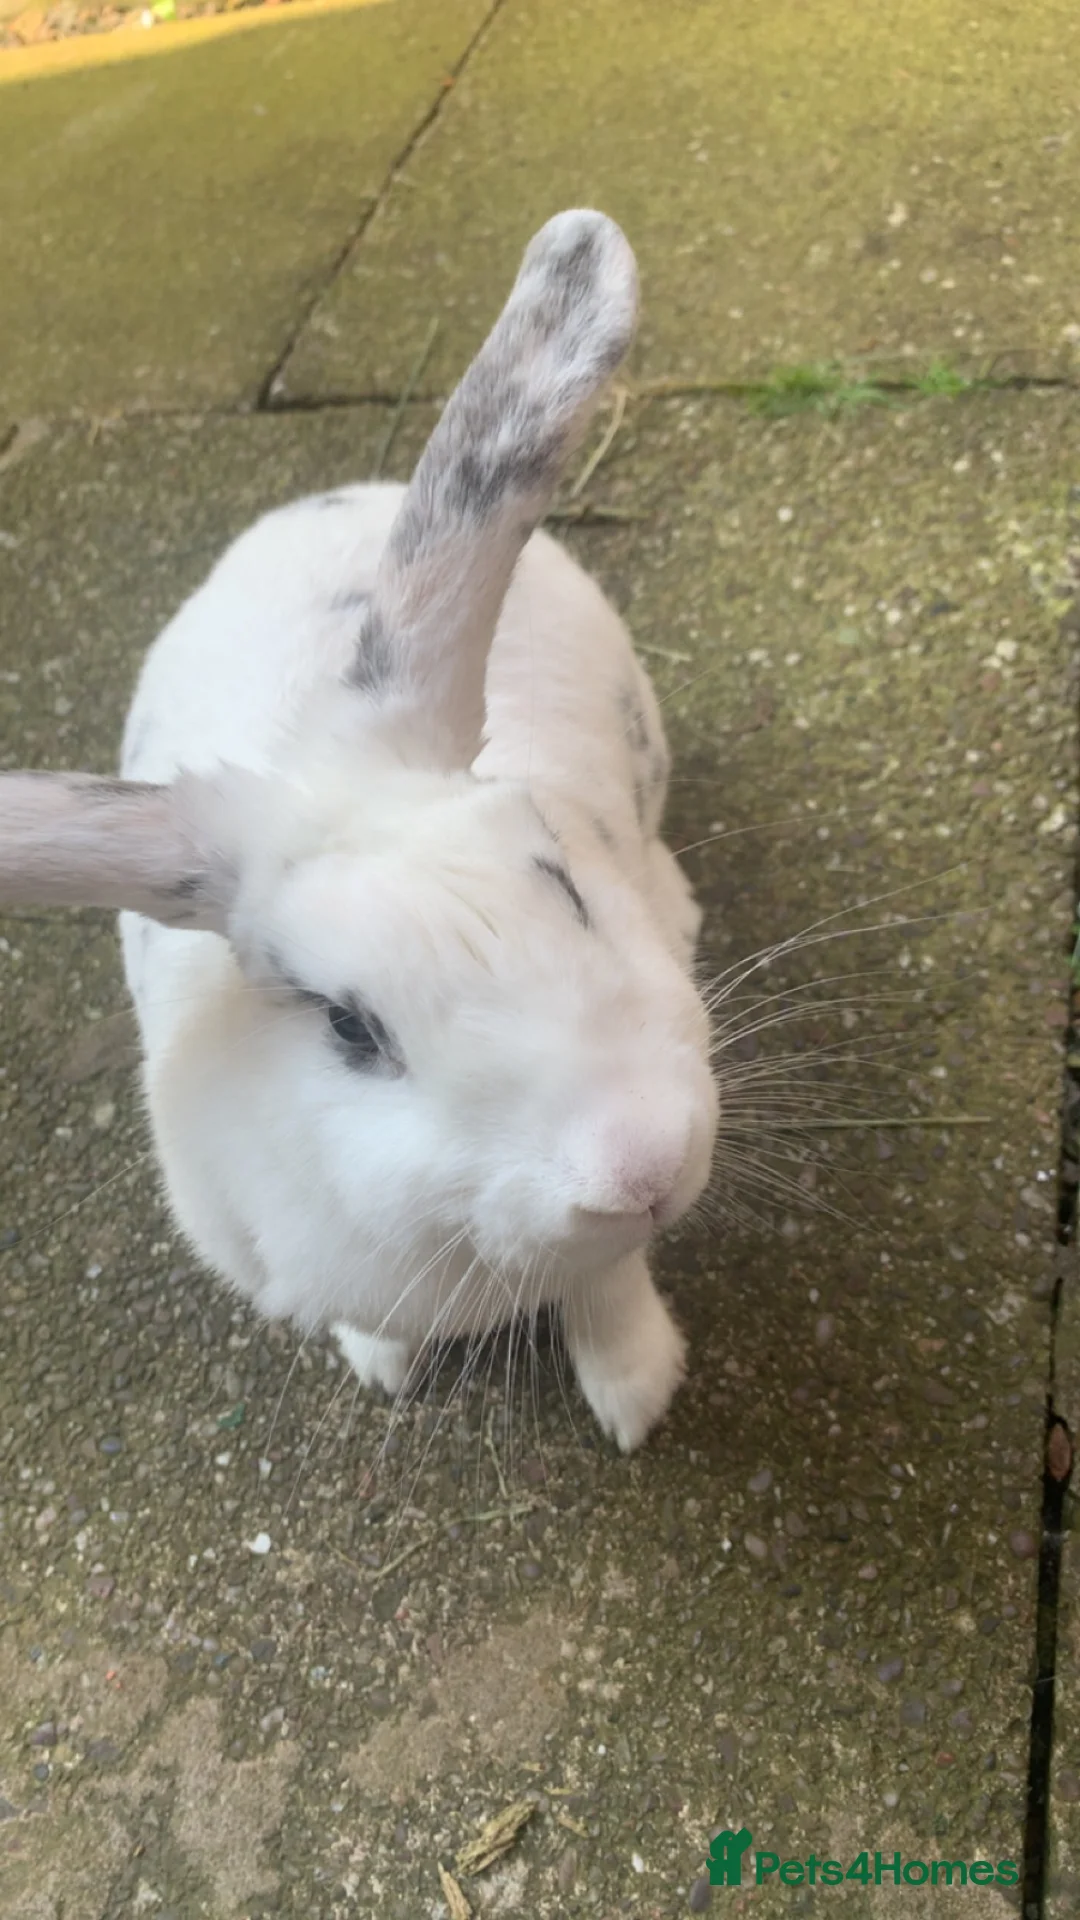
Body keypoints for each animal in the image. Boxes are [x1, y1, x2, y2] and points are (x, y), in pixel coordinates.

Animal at [0, 210, 718, 1452]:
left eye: (565, 884)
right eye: (349, 1028)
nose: (641, 1163)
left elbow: (611, 1280)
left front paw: (635, 1393)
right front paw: (388, 1365)